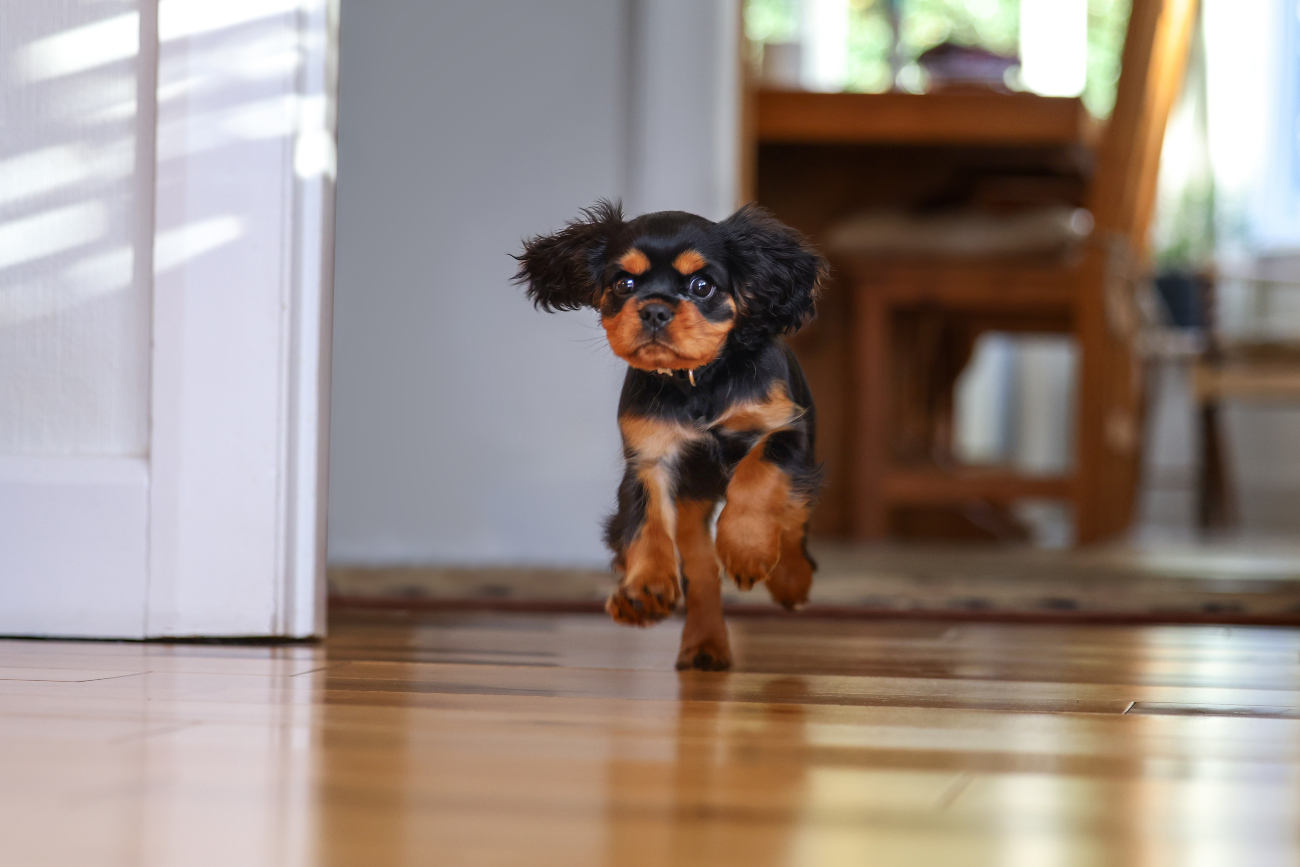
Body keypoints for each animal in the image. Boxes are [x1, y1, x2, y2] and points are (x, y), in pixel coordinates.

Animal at [509, 204, 821, 670]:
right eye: (624, 283)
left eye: (701, 285)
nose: (654, 309)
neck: (697, 380)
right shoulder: (649, 460)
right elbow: (646, 525)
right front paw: (646, 590)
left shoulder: (782, 431)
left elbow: (756, 476)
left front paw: (746, 549)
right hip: (690, 510)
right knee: (701, 568)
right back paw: (704, 643)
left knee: (792, 523)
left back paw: (790, 581)